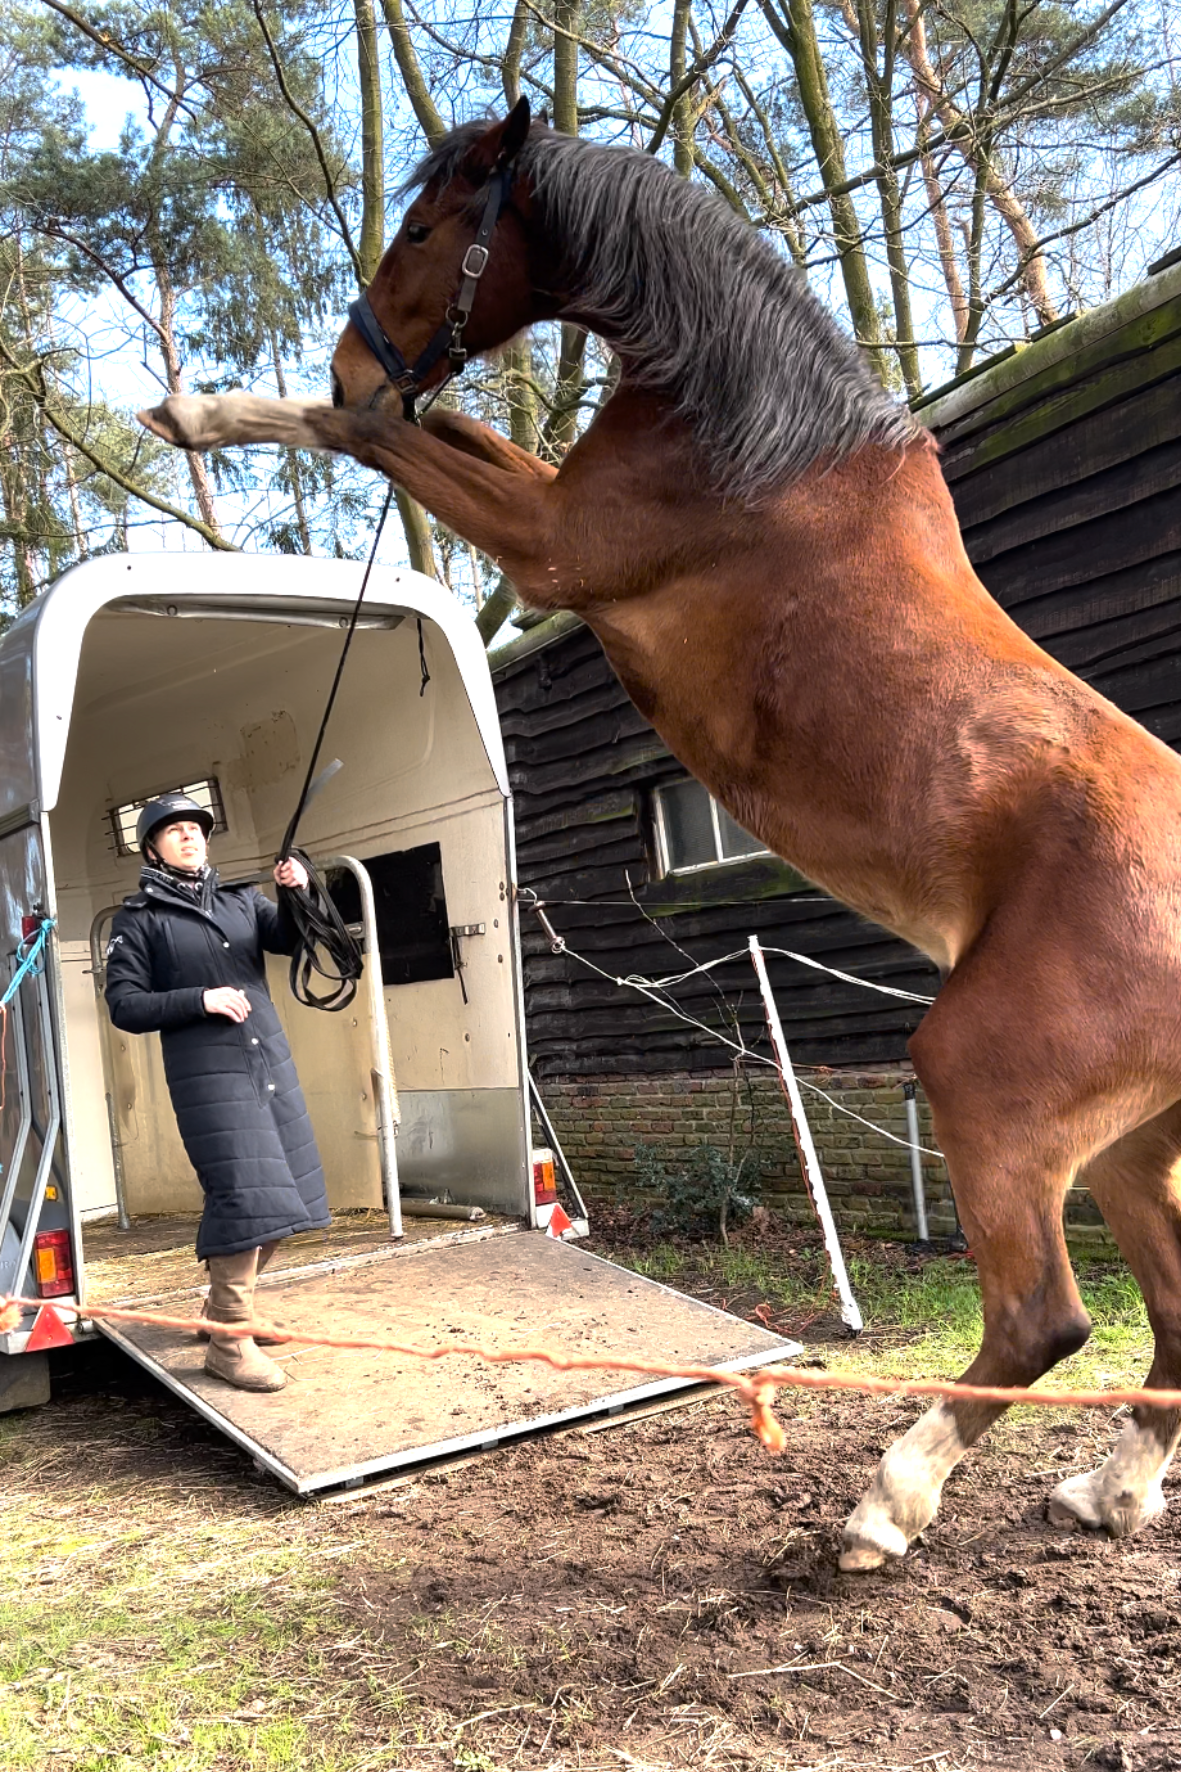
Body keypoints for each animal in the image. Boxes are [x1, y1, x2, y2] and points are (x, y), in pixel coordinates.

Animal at [140, 97, 1181, 1573]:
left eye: (426, 228)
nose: (359, 352)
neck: (748, 441)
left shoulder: (549, 542)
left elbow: (366, 435)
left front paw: (203, 409)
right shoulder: (544, 501)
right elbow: (428, 427)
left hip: (989, 1090)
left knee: (1045, 1320)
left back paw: (883, 1504)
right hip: (1134, 1146)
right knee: (1168, 1322)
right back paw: (1106, 1490)